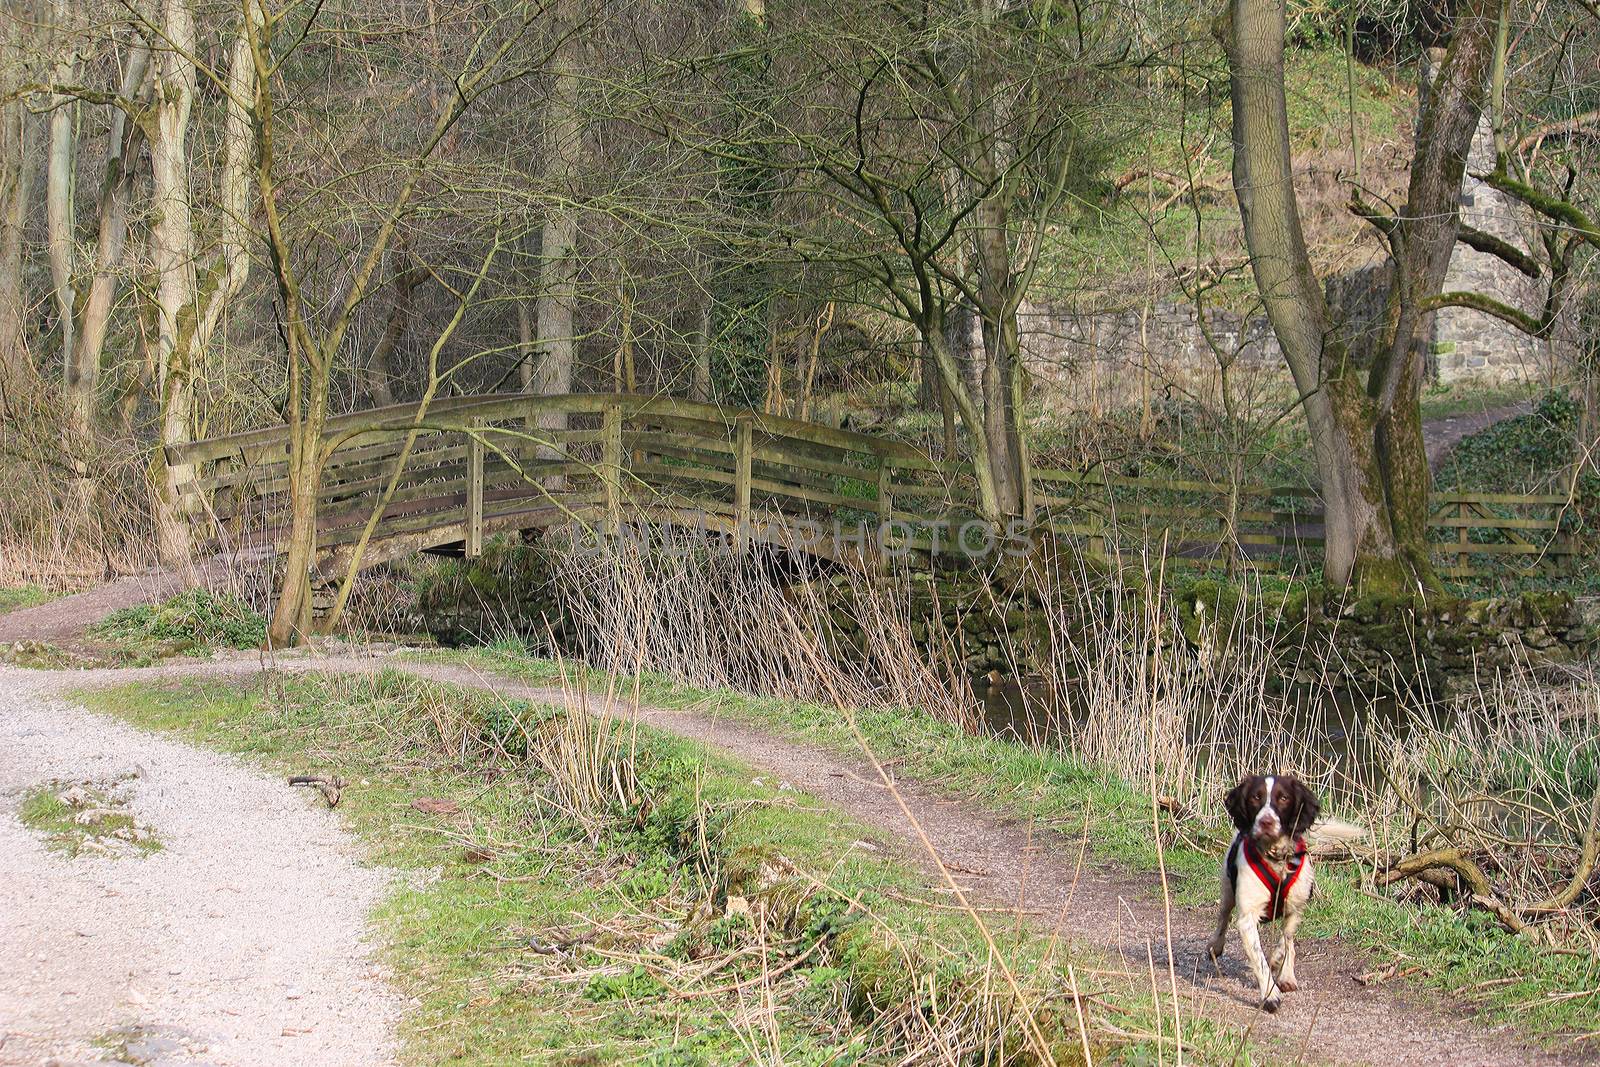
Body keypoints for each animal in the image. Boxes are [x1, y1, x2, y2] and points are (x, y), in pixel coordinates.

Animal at [1203, 777, 1318, 1011]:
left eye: (1283, 798)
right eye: (1256, 797)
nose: (1266, 822)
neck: (1275, 857)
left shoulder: (1296, 908)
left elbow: (1286, 939)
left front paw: (1279, 962)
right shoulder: (1247, 918)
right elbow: (1260, 960)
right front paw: (1270, 995)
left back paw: (1287, 975)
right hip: (1227, 888)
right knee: (1223, 916)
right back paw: (1215, 946)